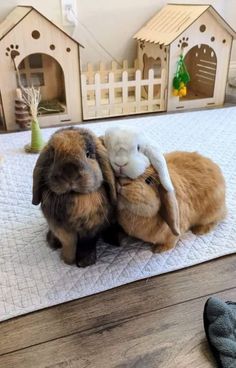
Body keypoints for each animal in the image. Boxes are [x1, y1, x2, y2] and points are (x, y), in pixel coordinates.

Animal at [32, 128, 117, 266]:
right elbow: (69, 244)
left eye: (88, 154)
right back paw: (51, 242)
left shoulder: (91, 230)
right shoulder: (60, 229)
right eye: (53, 157)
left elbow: (86, 245)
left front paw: (85, 262)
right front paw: (67, 260)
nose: (70, 174)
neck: (75, 198)